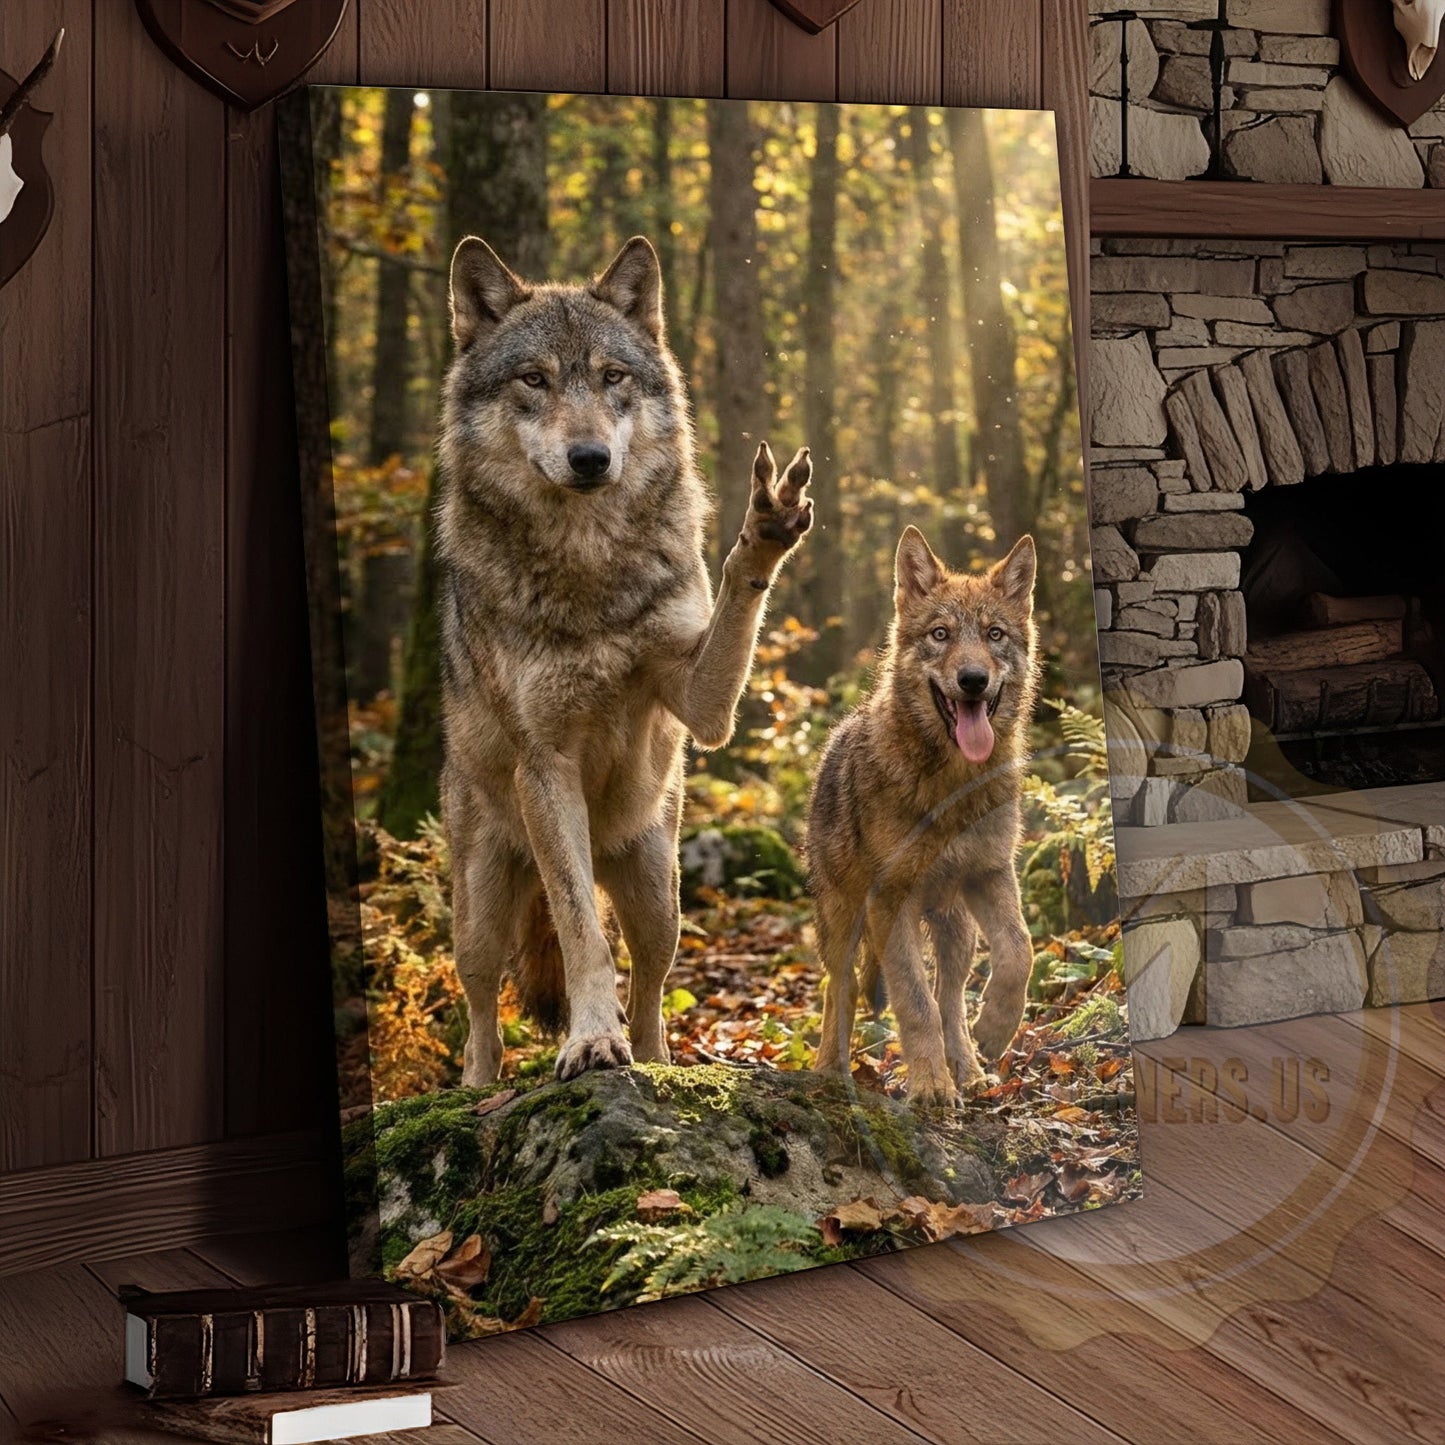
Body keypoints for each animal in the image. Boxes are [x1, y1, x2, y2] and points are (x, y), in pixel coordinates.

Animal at [437, 234, 813, 1085]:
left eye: (612, 377)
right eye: (534, 379)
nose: (589, 457)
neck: (588, 566)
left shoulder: (699, 702)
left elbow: (732, 605)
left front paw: (763, 530)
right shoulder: (545, 765)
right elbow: (580, 928)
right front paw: (587, 1041)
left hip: (658, 889)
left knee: (651, 978)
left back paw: (658, 1061)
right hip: (479, 909)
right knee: (480, 1007)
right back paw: (477, 1089)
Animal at [808, 526, 1039, 1106]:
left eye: (995, 635)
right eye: (940, 634)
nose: (973, 679)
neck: (952, 786)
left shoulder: (991, 873)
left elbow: (1019, 953)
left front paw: (995, 1030)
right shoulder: (891, 902)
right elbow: (913, 1002)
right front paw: (931, 1087)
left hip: (957, 929)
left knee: (951, 996)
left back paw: (971, 1071)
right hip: (843, 922)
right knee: (839, 990)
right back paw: (828, 1072)